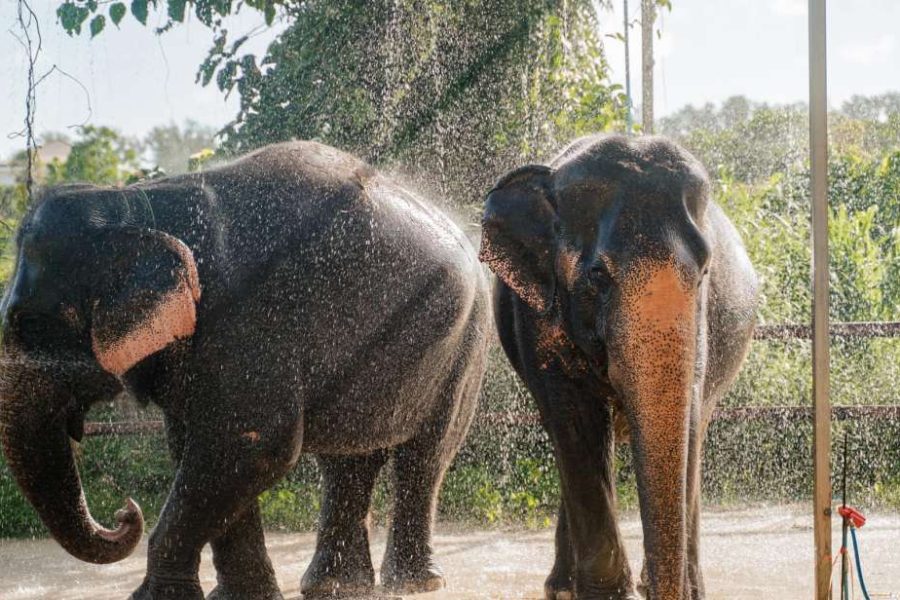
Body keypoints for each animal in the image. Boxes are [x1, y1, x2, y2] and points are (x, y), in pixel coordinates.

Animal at [0, 142, 488, 600]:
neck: (136, 205)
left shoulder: (247, 317)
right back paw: (335, 587)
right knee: (348, 461)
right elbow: (200, 446)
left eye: (30, 323)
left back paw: (415, 583)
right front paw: (241, 596)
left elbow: (249, 444)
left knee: (426, 455)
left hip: (468, 340)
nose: (125, 511)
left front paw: (155, 598)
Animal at [478, 136, 760, 600]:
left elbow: (687, 417)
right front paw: (607, 593)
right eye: (597, 275)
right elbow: (575, 422)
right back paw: (561, 588)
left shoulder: (702, 322)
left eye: (705, 272)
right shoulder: (536, 317)